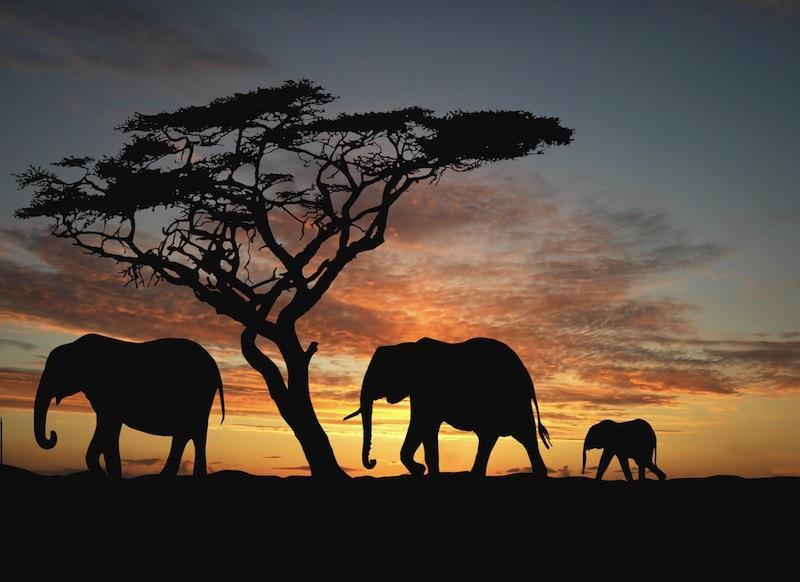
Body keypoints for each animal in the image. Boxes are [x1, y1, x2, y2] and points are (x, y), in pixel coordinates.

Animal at [33, 334, 222, 480]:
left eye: (56, 371)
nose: (53, 435)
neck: (74, 345)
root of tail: (214, 365)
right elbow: (110, 430)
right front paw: (111, 474)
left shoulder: (108, 394)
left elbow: (107, 426)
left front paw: (106, 474)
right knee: (189, 434)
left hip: (197, 396)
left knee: (191, 433)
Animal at [344, 338, 552, 480]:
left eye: (379, 374)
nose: (373, 461)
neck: (405, 347)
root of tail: (528, 378)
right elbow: (427, 430)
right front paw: (425, 472)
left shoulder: (426, 390)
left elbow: (421, 424)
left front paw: (421, 471)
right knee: (494, 437)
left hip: (513, 401)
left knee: (523, 436)